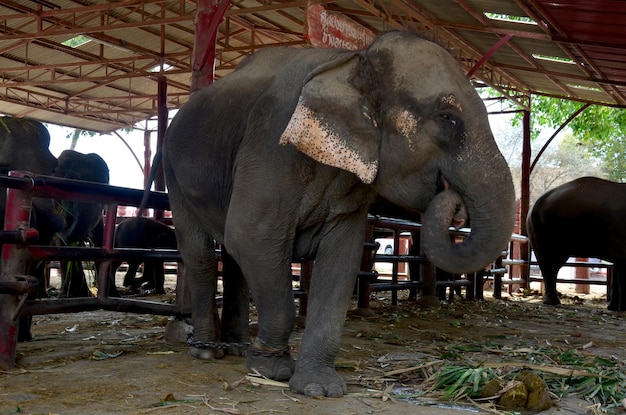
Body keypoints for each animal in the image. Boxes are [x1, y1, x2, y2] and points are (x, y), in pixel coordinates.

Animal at [160, 30, 512, 398]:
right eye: (447, 117)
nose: (456, 204)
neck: (351, 59)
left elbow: (341, 258)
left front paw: (319, 388)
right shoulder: (271, 144)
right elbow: (252, 237)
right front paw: (271, 370)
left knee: (232, 255)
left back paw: (236, 349)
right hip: (173, 170)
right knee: (202, 253)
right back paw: (206, 351)